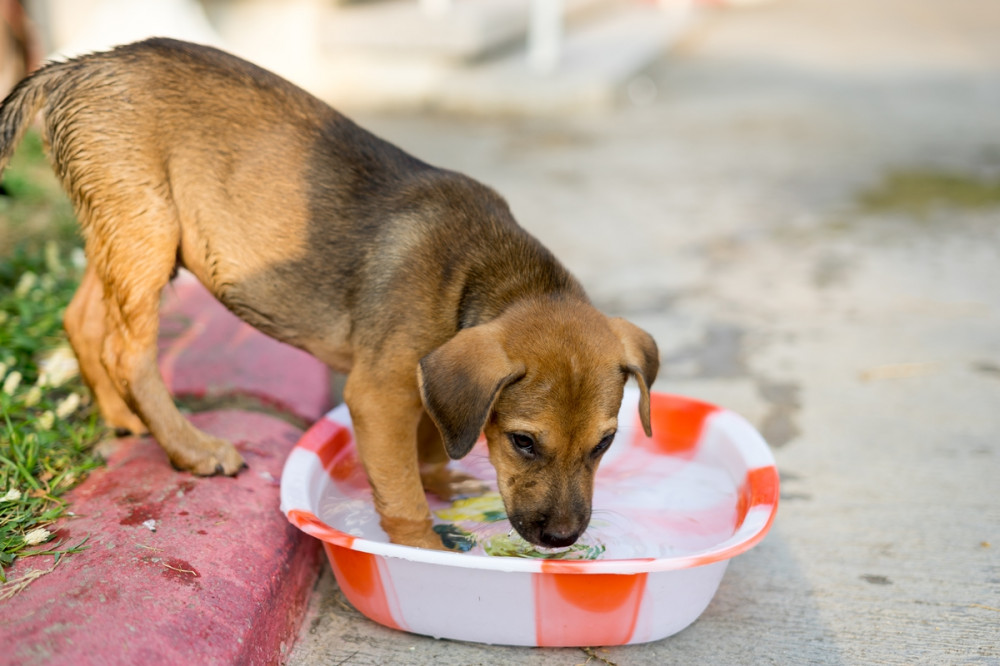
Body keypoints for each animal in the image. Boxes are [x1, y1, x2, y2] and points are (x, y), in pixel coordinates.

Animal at [0, 39, 660, 548]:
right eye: (524, 442)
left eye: (605, 444)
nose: (562, 541)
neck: (479, 274)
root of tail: (77, 66)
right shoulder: (378, 394)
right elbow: (401, 492)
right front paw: (421, 548)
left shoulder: (425, 384)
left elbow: (429, 448)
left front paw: (446, 488)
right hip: (147, 230)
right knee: (125, 351)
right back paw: (191, 447)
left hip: (126, 233)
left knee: (82, 320)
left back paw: (123, 419)